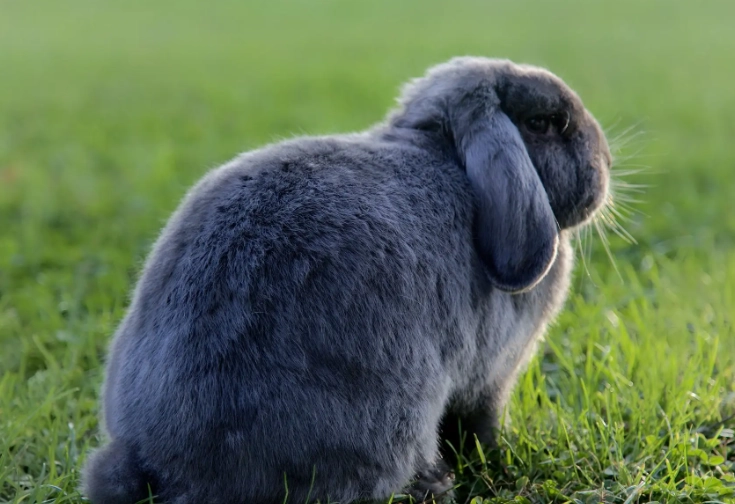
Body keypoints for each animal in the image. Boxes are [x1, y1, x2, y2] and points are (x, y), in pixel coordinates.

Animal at [82, 56, 612, 504]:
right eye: (546, 123)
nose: (605, 162)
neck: (447, 156)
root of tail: (160, 464)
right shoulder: (491, 376)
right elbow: (479, 428)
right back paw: (435, 484)